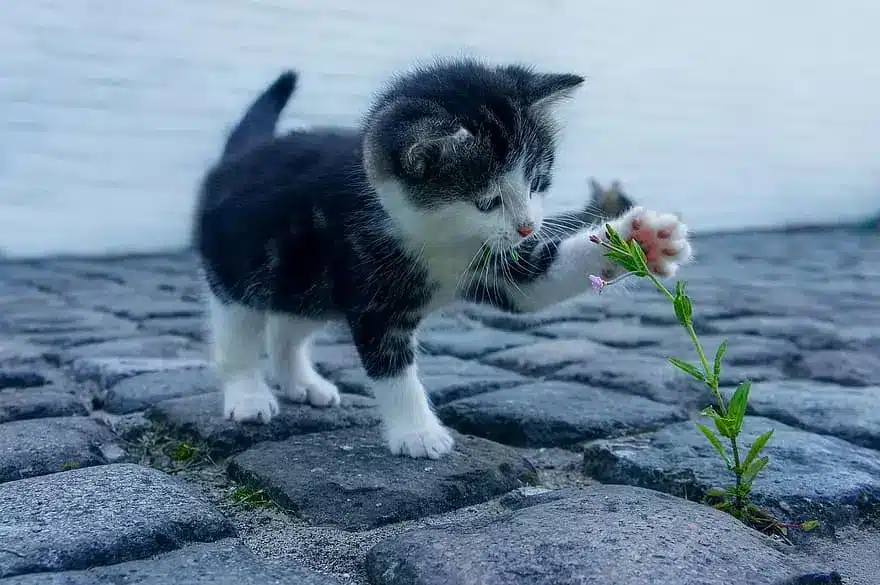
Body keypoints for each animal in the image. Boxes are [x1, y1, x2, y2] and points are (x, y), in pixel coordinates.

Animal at [194, 57, 696, 458]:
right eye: (488, 201)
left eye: (537, 182)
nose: (528, 227)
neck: (438, 238)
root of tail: (234, 160)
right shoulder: (371, 287)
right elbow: (392, 367)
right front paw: (418, 433)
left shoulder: (498, 263)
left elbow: (537, 283)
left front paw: (643, 239)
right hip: (240, 268)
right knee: (238, 333)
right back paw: (248, 395)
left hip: (305, 280)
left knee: (288, 325)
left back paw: (301, 382)